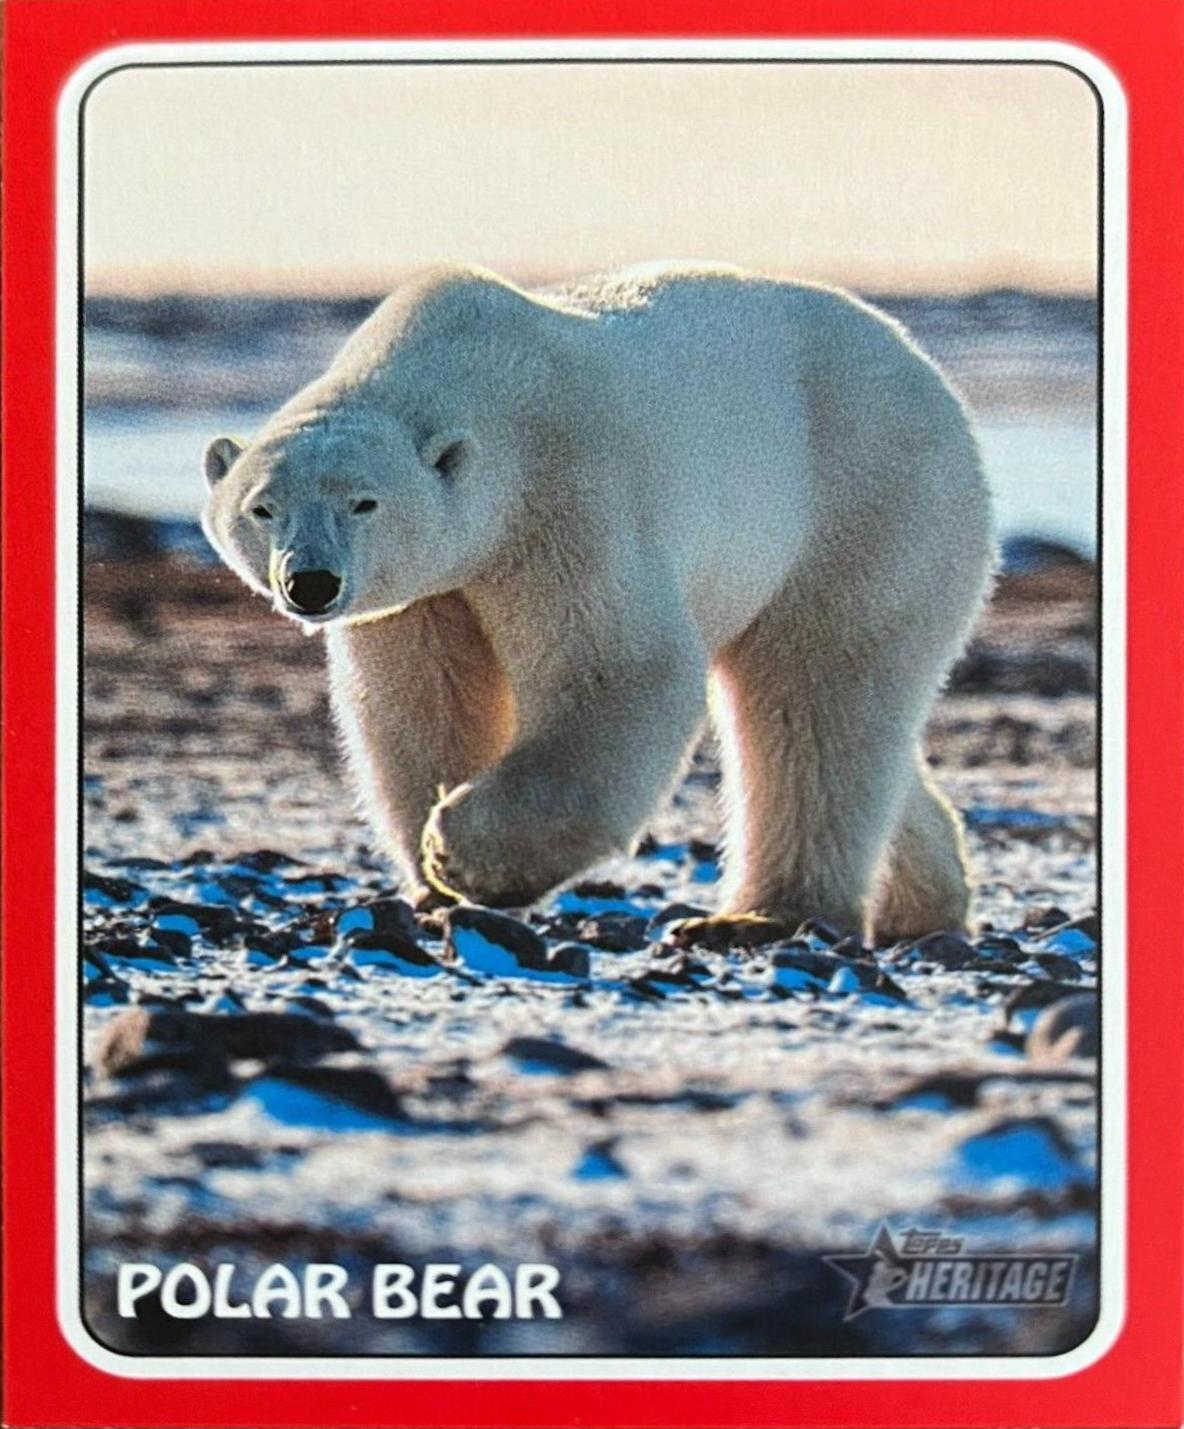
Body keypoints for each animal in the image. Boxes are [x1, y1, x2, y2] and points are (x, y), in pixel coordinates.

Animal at [202, 262, 994, 944]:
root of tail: (929, 373)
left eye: (364, 502)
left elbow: (619, 671)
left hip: (867, 504)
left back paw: (765, 916)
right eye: (262, 507)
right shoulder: (426, 590)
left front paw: (455, 852)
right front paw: (430, 877)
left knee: (813, 695)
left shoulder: (567, 499)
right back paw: (922, 904)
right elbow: (423, 700)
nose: (311, 583)